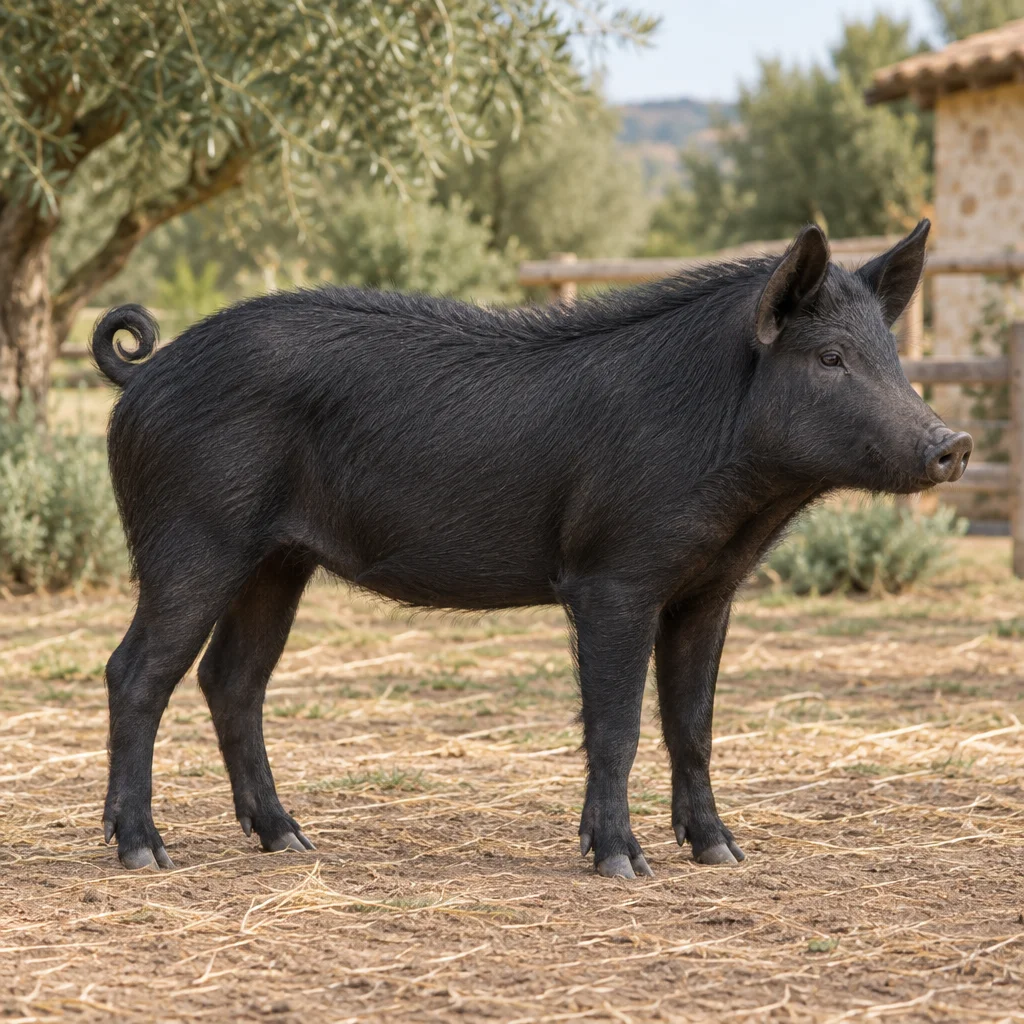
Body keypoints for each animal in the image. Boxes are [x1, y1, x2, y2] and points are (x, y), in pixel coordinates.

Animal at [91, 219, 971, 876]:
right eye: (831, 358)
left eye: (891, 357)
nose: (953, 443)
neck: (746, 493)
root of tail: (146, 373)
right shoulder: (612, 576)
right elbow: (615, 723)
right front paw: (622, 865)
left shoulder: (708, 589)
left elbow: (693, 723)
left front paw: (724, 855)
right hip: (190, 538)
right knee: (136, 671)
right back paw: (145, 854)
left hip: (278, 561)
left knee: (232, 680)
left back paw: (290, 840)